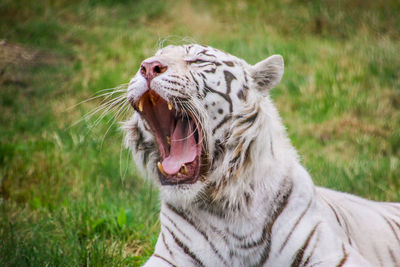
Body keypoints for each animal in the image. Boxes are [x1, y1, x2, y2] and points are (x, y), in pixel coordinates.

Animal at [123, 45, 400, 266]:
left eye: (198, 61)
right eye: (155, 56)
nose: (148, 67)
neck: (226, 205)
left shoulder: (333, 254)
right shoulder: (168, 257)